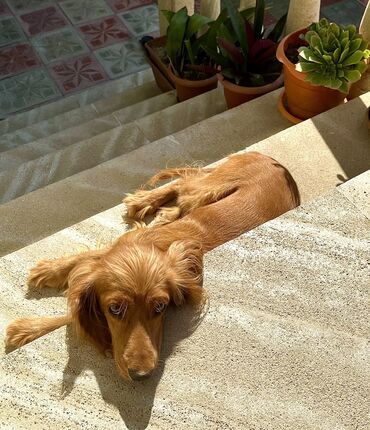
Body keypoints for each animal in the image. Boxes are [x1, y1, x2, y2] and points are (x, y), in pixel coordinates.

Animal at [5, 153, 300, 382]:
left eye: (160, 307)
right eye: (114, 309)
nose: (141, 376)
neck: (152, 248)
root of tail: (276, 162)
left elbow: (73, 310)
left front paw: (25, 329)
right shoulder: (117, 250)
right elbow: (84, 267)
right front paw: (49, 272)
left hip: (204, 192)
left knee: (184, 186)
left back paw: (158, 210)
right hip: (205, 190)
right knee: (182, 182)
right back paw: (146, 203)